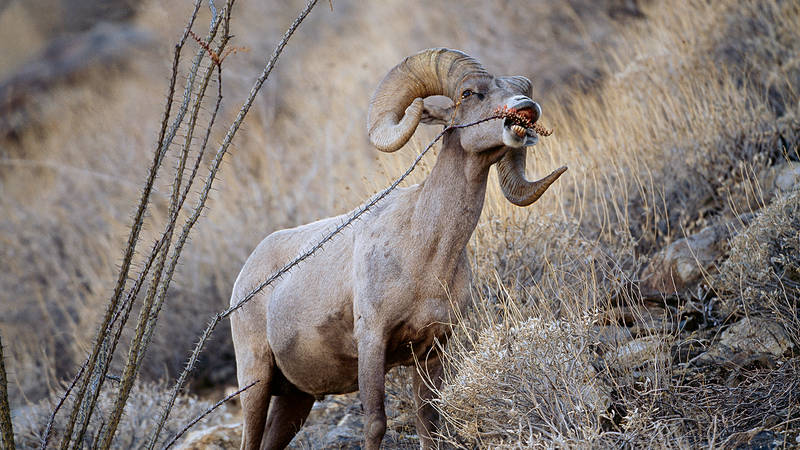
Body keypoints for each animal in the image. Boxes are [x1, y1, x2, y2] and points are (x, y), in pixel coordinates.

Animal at [230, 47, 568, 448]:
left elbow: (429, 423)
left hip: (296, 399)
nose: (526, 109)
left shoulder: (432, 350)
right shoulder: (372, 341)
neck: (426, 254)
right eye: (469, 93)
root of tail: (245, 275)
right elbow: (376, 422)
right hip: (256, 380)